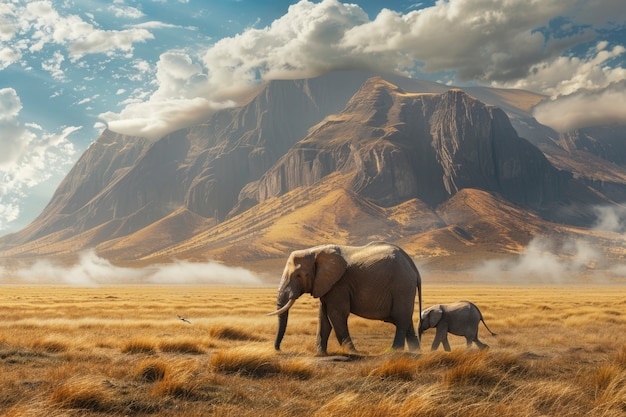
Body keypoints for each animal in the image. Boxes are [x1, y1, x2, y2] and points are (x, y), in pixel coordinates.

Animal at [266, 240, 422, 354]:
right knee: (406, 321)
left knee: (401, 320)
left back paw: (394, 351)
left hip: (402, 286)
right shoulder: (326, 285)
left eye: (299, 275)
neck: (314, 251)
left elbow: (336, 315)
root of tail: (414, 269)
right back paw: (415, 352)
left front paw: (352, 352)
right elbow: (323, 317)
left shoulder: (339, 284)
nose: (279, 349)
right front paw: (321, 354)